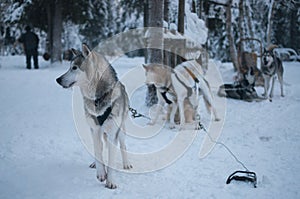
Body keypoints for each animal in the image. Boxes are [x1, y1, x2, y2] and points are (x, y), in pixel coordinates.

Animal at [56, 43, 131, 188]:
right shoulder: (95, 129)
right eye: (69, 67)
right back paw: (95, 163)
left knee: (123, 145)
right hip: (97, 131)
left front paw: (111, 181)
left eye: (74, 68)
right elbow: (97, 150)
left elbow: (111, 159)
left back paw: (126, 163)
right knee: (100, 147)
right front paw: (101, 173)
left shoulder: (113, 132)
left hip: (121, 130)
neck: (98, 98)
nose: (58, 79)